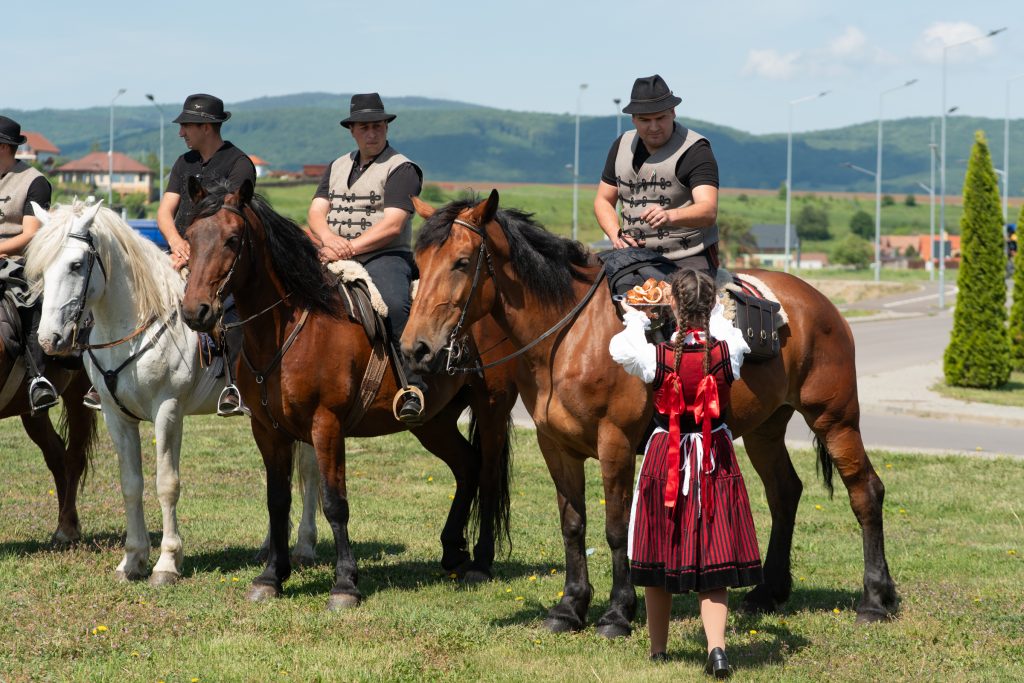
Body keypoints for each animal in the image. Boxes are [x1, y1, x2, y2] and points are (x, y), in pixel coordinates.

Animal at [25, 200, 319, 585]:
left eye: (76, 265)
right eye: (42, 267)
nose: (50, 339)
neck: (135, 327)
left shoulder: (168, 411)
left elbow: (166, 483)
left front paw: (166, 563)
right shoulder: (117, 417)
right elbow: (131, 483)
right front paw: (132, 560)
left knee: (310, 470)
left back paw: (305, 547)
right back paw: (271, 546)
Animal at [177, 181, 520, 610]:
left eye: (232, 239)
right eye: (190, 236)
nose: (196, 311)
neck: (292, 326)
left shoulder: (326, 425)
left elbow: (334, 503)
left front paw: (344, 583)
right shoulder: (268, 431)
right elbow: (277, 501)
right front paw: (272, 576)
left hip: (491, 410)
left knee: (487, 473)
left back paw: (481, 561)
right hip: (433, 422)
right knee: (467, 466)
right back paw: (453, 550)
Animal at [399, 191, 897, 634]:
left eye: (462, 262)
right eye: (418, 264)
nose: (415, 348)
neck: (569, 335)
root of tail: (821, 305)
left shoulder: (615, 442)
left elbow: (617, 527)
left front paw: (618, 613)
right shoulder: (555, 446)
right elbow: (573, 525)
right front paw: (570, 607)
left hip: (834, 418)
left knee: (865, 492)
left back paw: (876, 599)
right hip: (765, 429)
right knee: (785, 492)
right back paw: (768, 592)